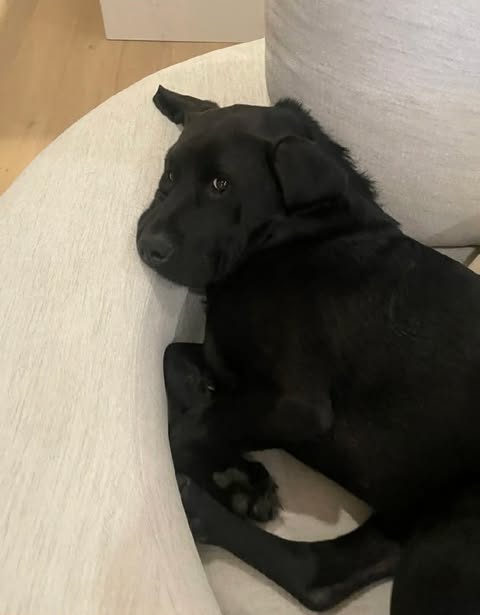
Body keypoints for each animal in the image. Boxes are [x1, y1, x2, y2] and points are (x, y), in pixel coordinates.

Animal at [136, 86, 480, 614]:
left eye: (220, 185)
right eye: (169, 175)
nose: (147, 245)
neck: (290, 240)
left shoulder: (296, 405)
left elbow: (184, 430)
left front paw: (227, 470)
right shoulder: (225, 363)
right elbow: (175, 359)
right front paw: (242, 475)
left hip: (449, 538)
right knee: (318, 575)